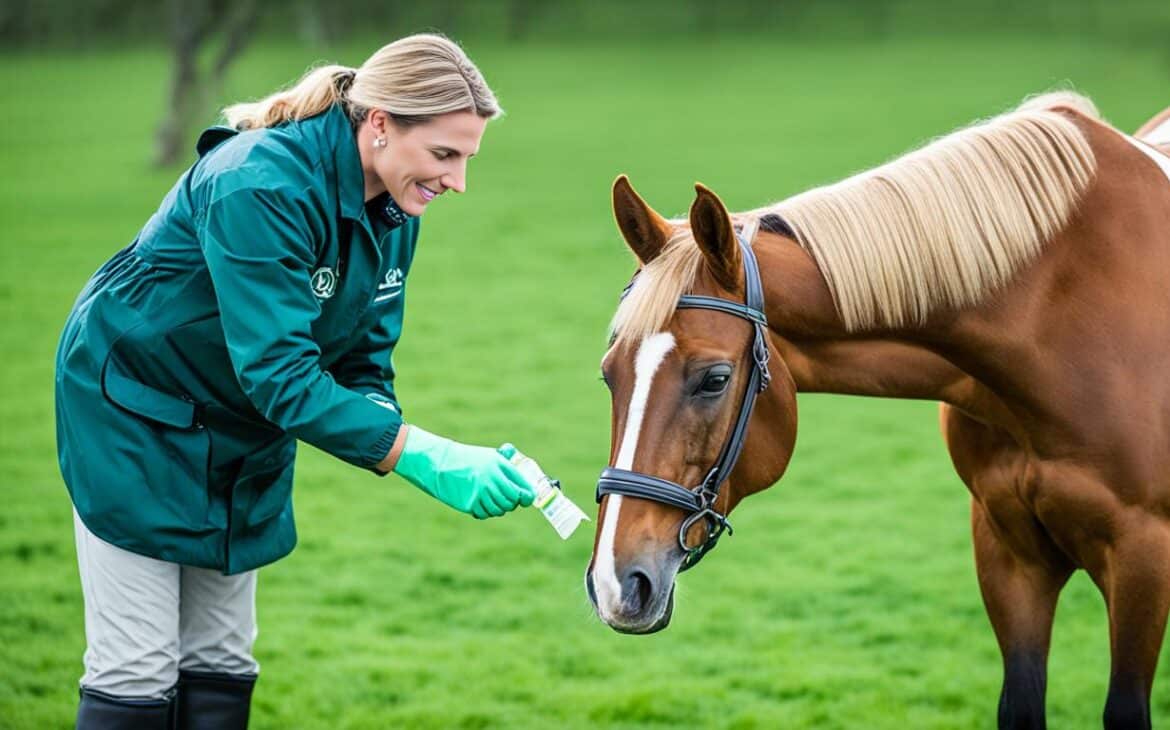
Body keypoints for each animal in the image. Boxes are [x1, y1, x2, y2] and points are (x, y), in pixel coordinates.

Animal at [589, 94, 1170, 725]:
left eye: (714, 379)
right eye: (609, 374)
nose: (617, 585)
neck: (1061, 322)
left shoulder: (1143, 556)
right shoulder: (1008, 550)